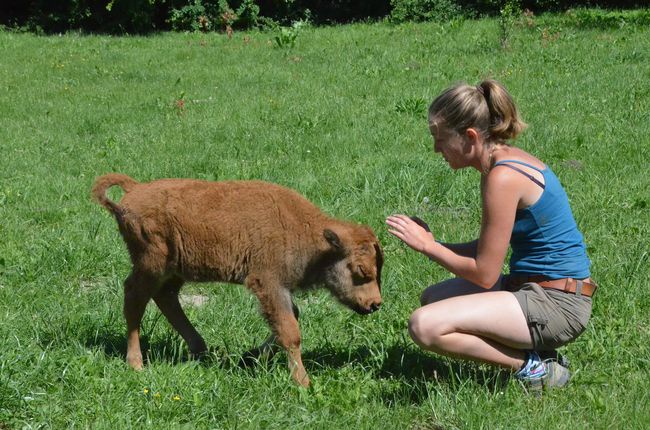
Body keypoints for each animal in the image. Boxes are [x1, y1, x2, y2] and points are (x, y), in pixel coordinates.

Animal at [93, 173, 382, 388]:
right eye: (361, 270)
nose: (374, 304)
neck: (310, 235)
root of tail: (135, 189)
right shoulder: (268, 283)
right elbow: (290, 331)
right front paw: (303, 383)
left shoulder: (279, 290)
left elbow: (289, 319)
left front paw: (251, 356)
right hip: (151, 264)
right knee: (135, 299)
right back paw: (136, 363)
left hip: (175, 270)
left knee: (166, 297)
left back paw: (199, 348)